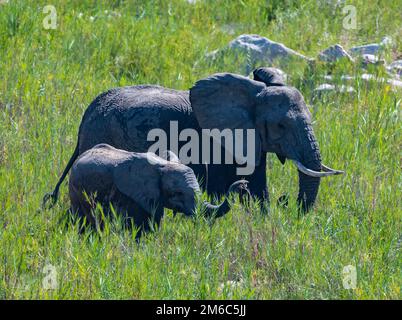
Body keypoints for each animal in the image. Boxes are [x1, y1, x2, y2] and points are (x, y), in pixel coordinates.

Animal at [45, 68, 344, 212]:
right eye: (281, 126)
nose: (287, 201)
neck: (252, 91)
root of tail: (87, 115)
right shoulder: (216, 139)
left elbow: (258, 186)